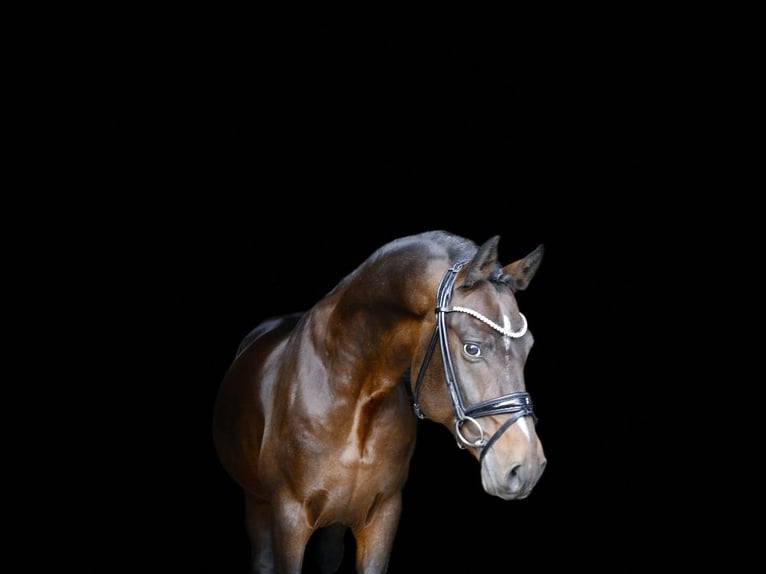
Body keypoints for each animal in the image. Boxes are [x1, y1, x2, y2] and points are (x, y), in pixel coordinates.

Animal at [213, 232, 548, 572]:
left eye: (529, 347)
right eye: (472, 348)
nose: (527, 468)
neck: (352, 398)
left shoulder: (382, 518)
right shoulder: (288, 517)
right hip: (257, 502)